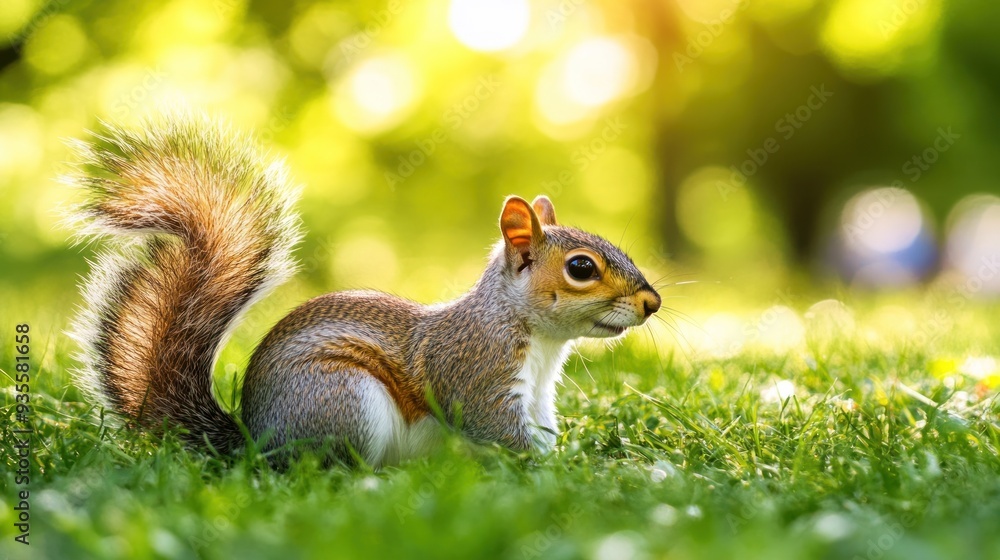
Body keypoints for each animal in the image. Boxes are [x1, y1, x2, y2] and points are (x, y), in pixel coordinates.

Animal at [67, 113, 662, 467]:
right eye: (581, 268)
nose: (652, 303)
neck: (533, 337)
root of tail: (256, 444)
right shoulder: (477, 373)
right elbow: (495, 430)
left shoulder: (536, 396)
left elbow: (540, 432)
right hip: (343, 400)